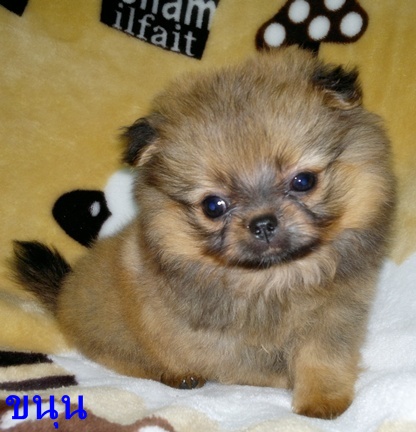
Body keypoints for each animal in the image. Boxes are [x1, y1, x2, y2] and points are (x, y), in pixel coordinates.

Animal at [12, 47, 395, 419]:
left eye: (303, 181)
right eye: (213, 206)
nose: (263, 223)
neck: (275, 278)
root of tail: (64, 290)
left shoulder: (335, 317)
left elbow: (323, 357)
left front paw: (322, 401)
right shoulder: (210, 338)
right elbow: (249, 365)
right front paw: (285, 381)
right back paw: (177, 375)